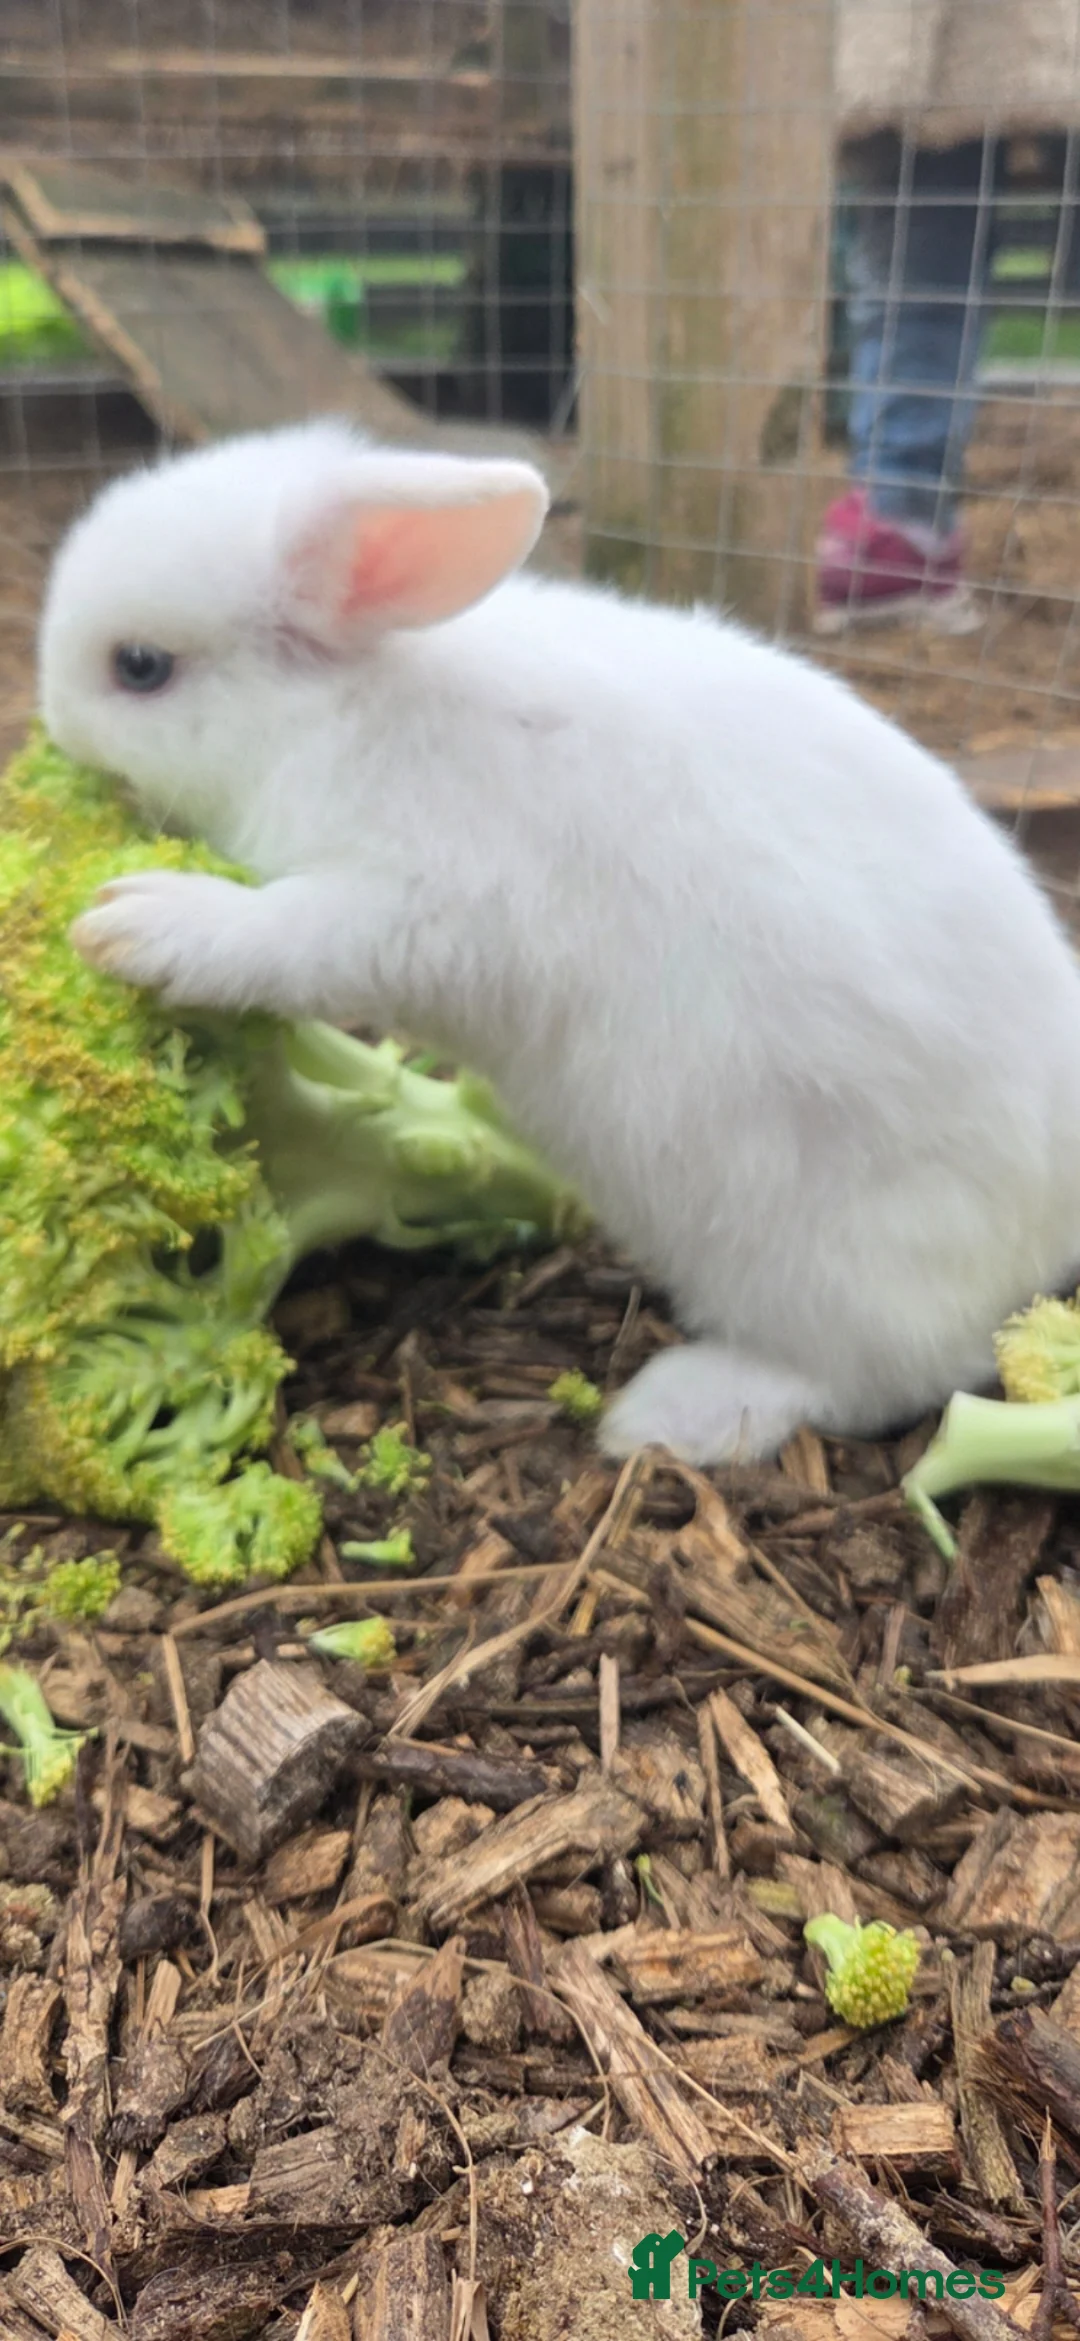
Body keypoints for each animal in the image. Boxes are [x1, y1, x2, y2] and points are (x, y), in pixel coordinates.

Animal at [36, 418, 1080, 1466]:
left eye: (139, 665)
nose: (49, 723)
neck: (349, 708)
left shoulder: (409, 905)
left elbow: (276, 934)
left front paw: (136, 918)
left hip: (821, 1270)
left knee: (891, 1376)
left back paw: (669, 1412)